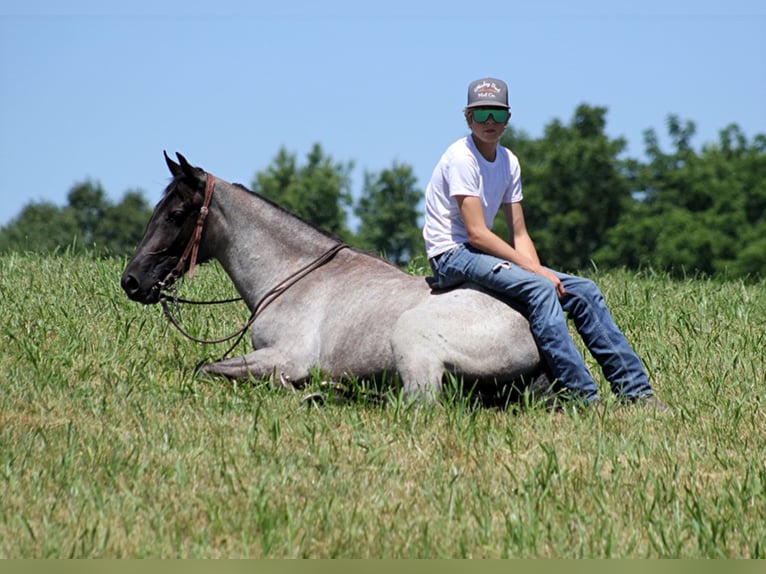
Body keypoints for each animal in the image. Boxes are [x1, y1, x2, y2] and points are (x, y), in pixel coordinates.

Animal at [121, 152, 552, 404]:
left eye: (176, 214)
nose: (131, 280)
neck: (292, 278)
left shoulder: (285, 357)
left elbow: (207, 368)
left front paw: (292, 385)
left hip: (413, 346)